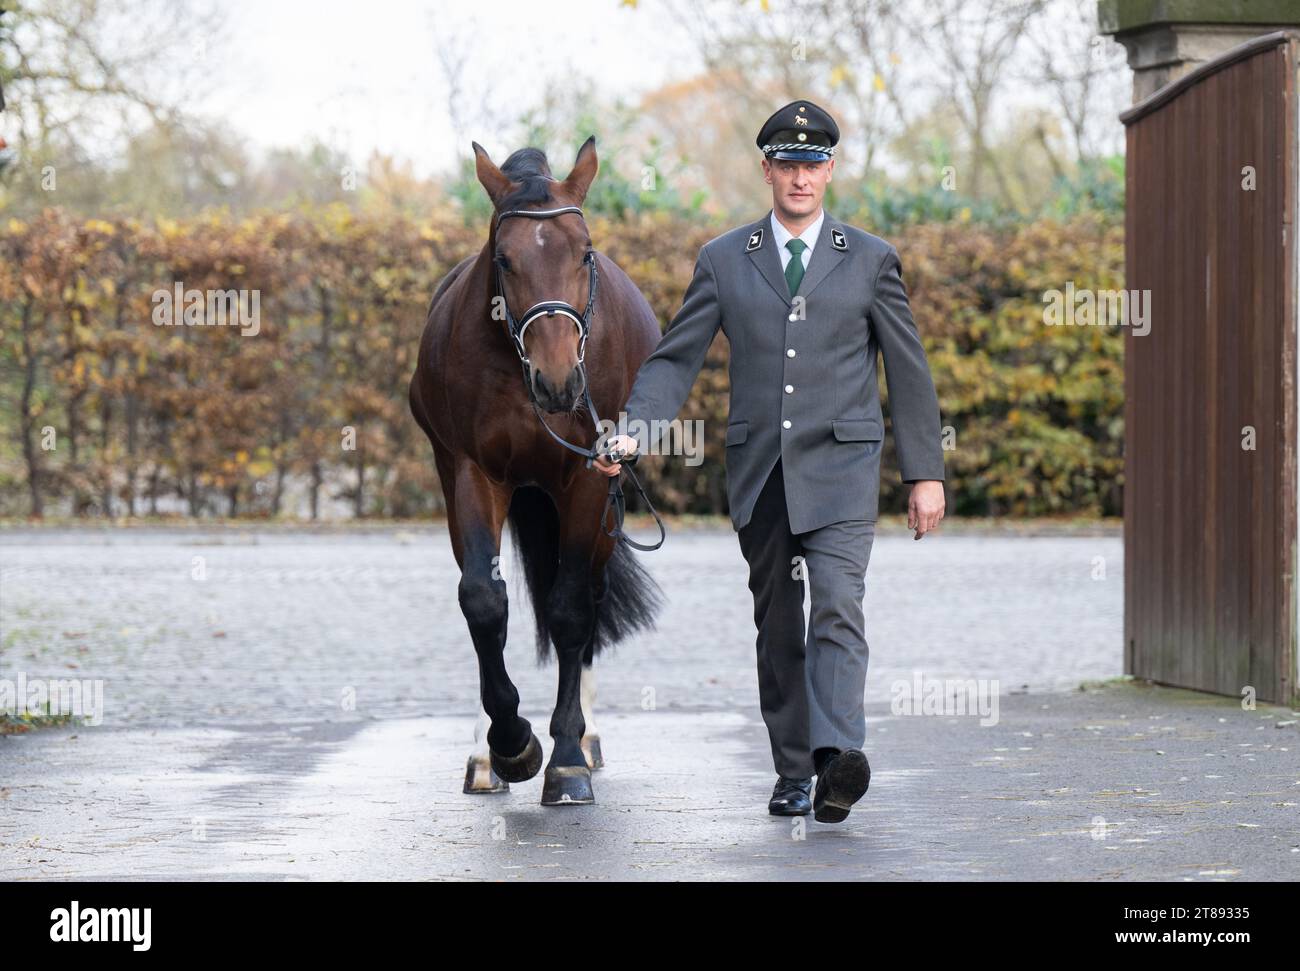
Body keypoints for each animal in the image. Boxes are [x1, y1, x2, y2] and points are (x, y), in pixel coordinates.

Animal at [408, 136, 670, 805]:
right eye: (505, 258)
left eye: (585, 252)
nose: (557, 381)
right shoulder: (473, 475)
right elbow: (483, 601)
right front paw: (509, 744)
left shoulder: (589, 481)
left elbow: (572, 609)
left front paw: (567, 757)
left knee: (589, 601)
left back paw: (586, 737)